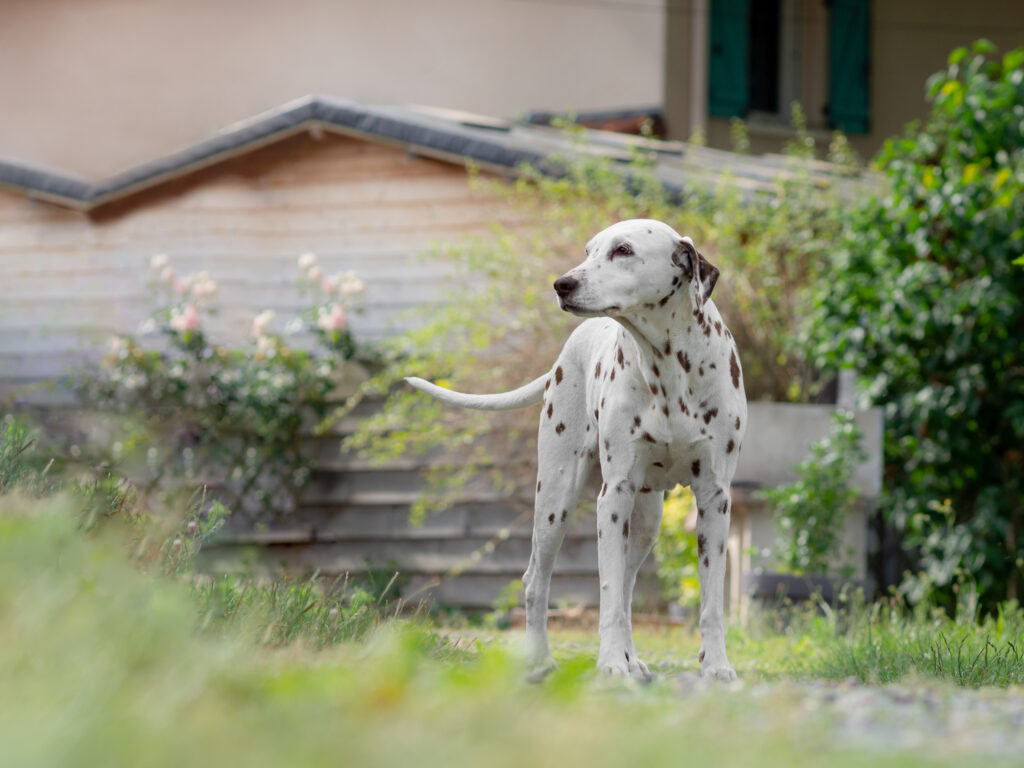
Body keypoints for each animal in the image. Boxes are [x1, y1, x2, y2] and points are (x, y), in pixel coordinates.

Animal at [403, 219, 749, 684]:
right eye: (589, 250)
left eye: (624, 250)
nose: (562, 283)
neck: (668, 368)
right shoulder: (613, 497)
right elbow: (607, 595)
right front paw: (610, 662)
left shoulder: (714, 500)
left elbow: (709, 602)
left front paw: (715, 666)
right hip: (555, 501)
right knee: (538, 580)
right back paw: (541, 660)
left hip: (645, 522)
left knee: (626, 588)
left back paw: (632, 659)